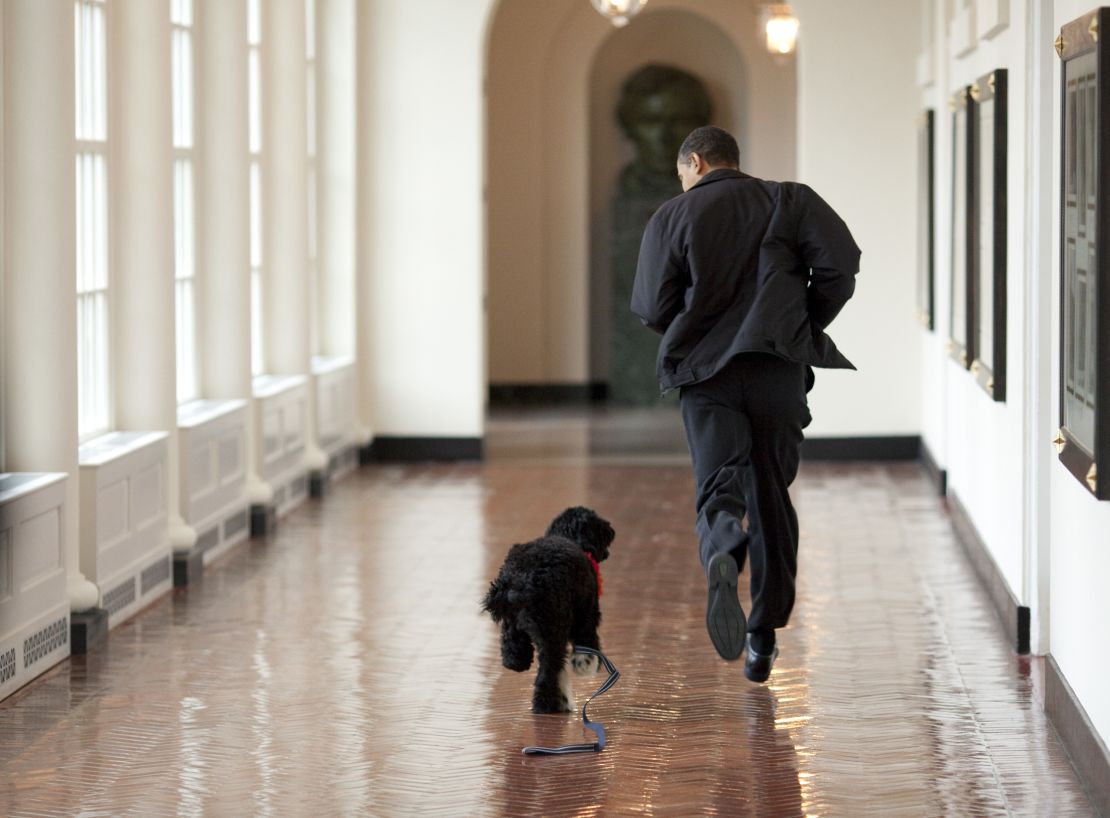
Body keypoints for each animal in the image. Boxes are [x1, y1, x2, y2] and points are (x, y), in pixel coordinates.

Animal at [479, 508, 617, 710]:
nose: (611, 532)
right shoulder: (586, 614)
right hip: (554, 630)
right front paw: (585, 665)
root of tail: (520, 580)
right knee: (547, 672)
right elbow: (587, 645)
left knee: (513, 651)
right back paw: (547, 704)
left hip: (517, 625)